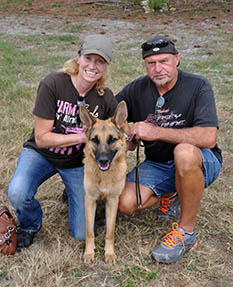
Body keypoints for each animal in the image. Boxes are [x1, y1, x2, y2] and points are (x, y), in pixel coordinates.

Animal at [79, 101, 127, 266]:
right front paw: (89, 253)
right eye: (95, 139)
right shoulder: (89, 200)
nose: (103, 160)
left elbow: (110, 232)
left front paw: (109, 253)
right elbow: (89, 231)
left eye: (112, 139)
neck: (104, 176)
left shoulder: (113, 201)